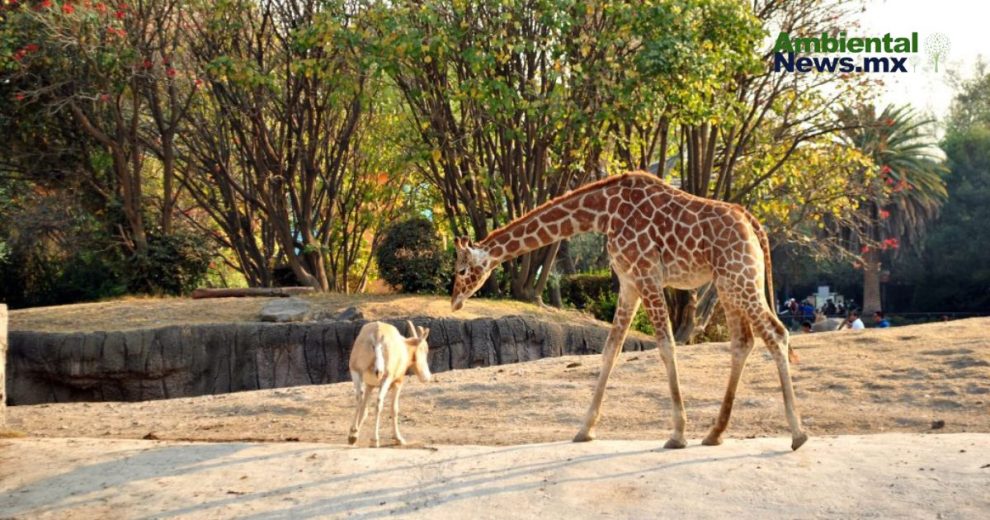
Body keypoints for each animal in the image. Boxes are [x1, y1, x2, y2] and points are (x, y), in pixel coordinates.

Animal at [454, 171, 808, 450]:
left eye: (461, 270)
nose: (455, 299)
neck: (604, 211)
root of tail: (753, 223)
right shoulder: (628, 283)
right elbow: (611, 350)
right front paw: (584, 429)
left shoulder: (646, 275)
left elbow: (666, 346)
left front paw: (677, 434)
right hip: (728, 282)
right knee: (743, 342)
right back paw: (714, 434)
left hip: (740, 277)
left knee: (777, 333)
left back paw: (798, 434)